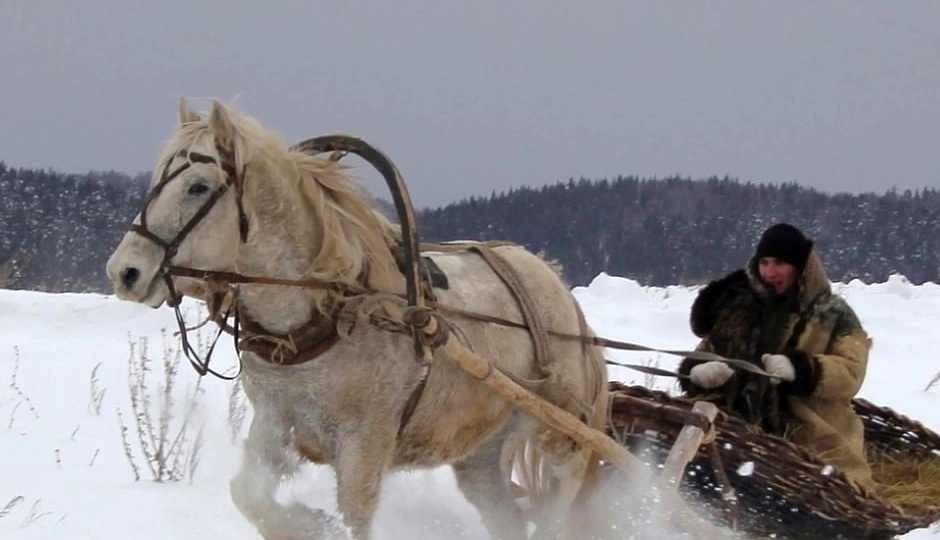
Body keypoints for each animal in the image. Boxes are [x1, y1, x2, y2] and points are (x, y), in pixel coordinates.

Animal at [106, 99, 608, 536]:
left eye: (198, 187)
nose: (124, 271)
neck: (329, 314)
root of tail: (554, 283)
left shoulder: (364, 443)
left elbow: (352, 517)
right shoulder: (275, 425)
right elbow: (249, 496)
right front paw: (307, 523)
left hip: (559, 432)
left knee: (561, 500)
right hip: (480, 451)